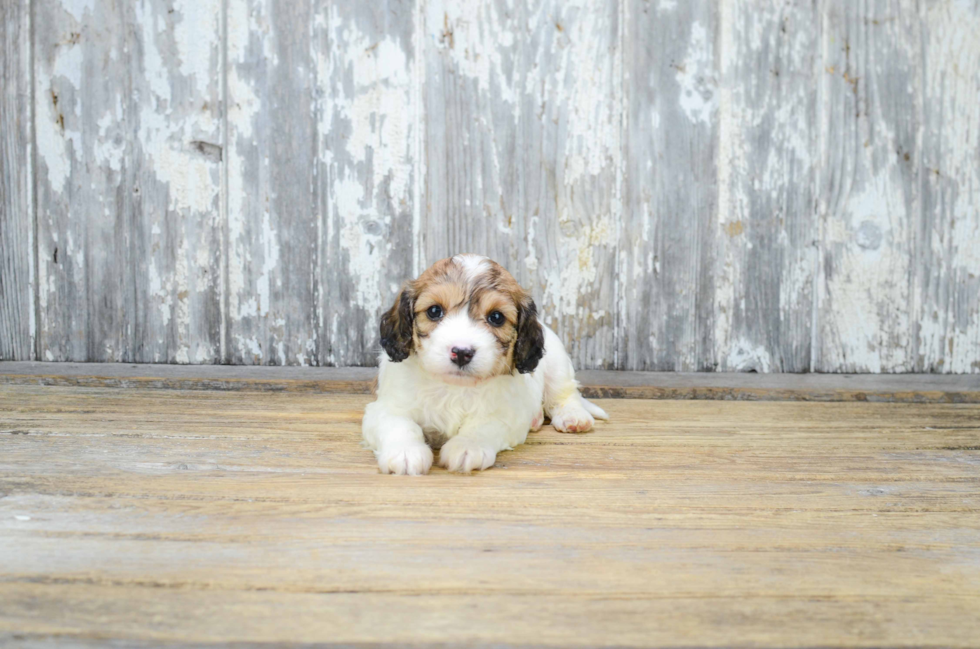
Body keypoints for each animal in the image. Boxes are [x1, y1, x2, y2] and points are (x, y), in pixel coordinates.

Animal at [362, 254, 604, 476]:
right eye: (434, 311)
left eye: (496, 317)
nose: (461, 352)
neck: (454, 388)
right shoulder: (385, 407)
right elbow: (400, 424)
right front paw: (405, 452)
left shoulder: (505, 415)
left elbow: (483, 426)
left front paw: (467, 447)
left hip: (557, 362)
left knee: (564, 394)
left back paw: (574, 416)